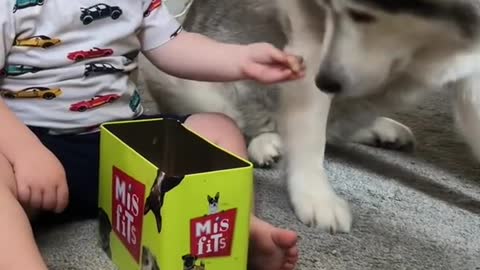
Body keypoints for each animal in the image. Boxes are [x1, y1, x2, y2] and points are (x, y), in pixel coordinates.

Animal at [137, 0, 480, 232]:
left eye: (361, 15)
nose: (326, 82)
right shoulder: (312, 44)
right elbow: (309, 135)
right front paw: (317, 197)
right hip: (173, 75)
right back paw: (266, 144)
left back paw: (381, 130)